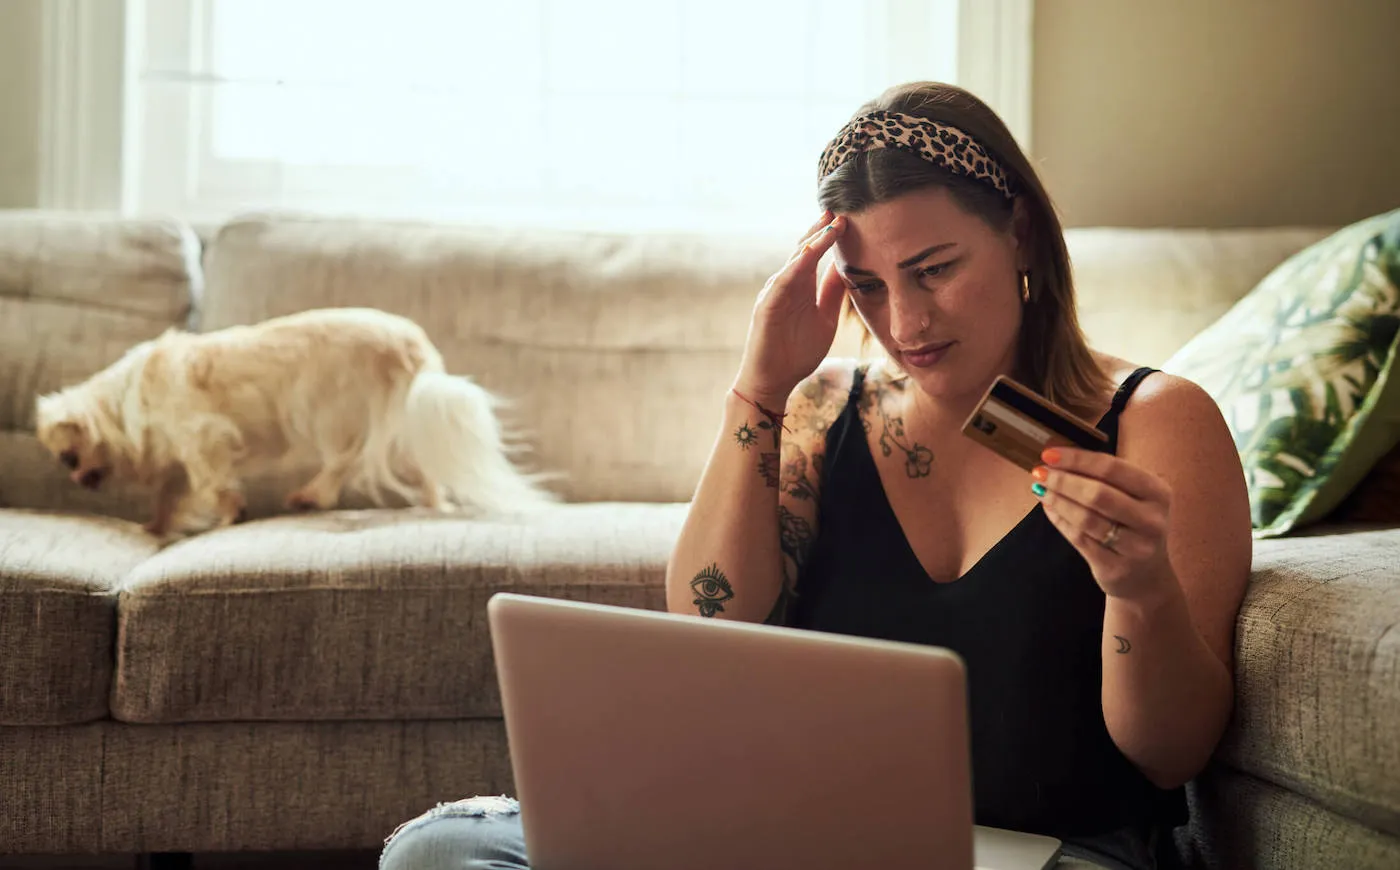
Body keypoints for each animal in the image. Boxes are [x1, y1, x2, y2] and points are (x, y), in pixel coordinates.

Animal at [28, 305, 551, 535]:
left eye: (70, 457)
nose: (79, 480)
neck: (126, 401)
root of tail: (413, 346)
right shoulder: (177, 459)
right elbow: (172, 494)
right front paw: (156, 527)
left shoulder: (202, 437)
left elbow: (211, 482)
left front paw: (230, 512)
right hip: (397, 424)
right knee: (423, 471)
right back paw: (433, 505)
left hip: (330, 411)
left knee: (344, 460)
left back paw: (311, 495)